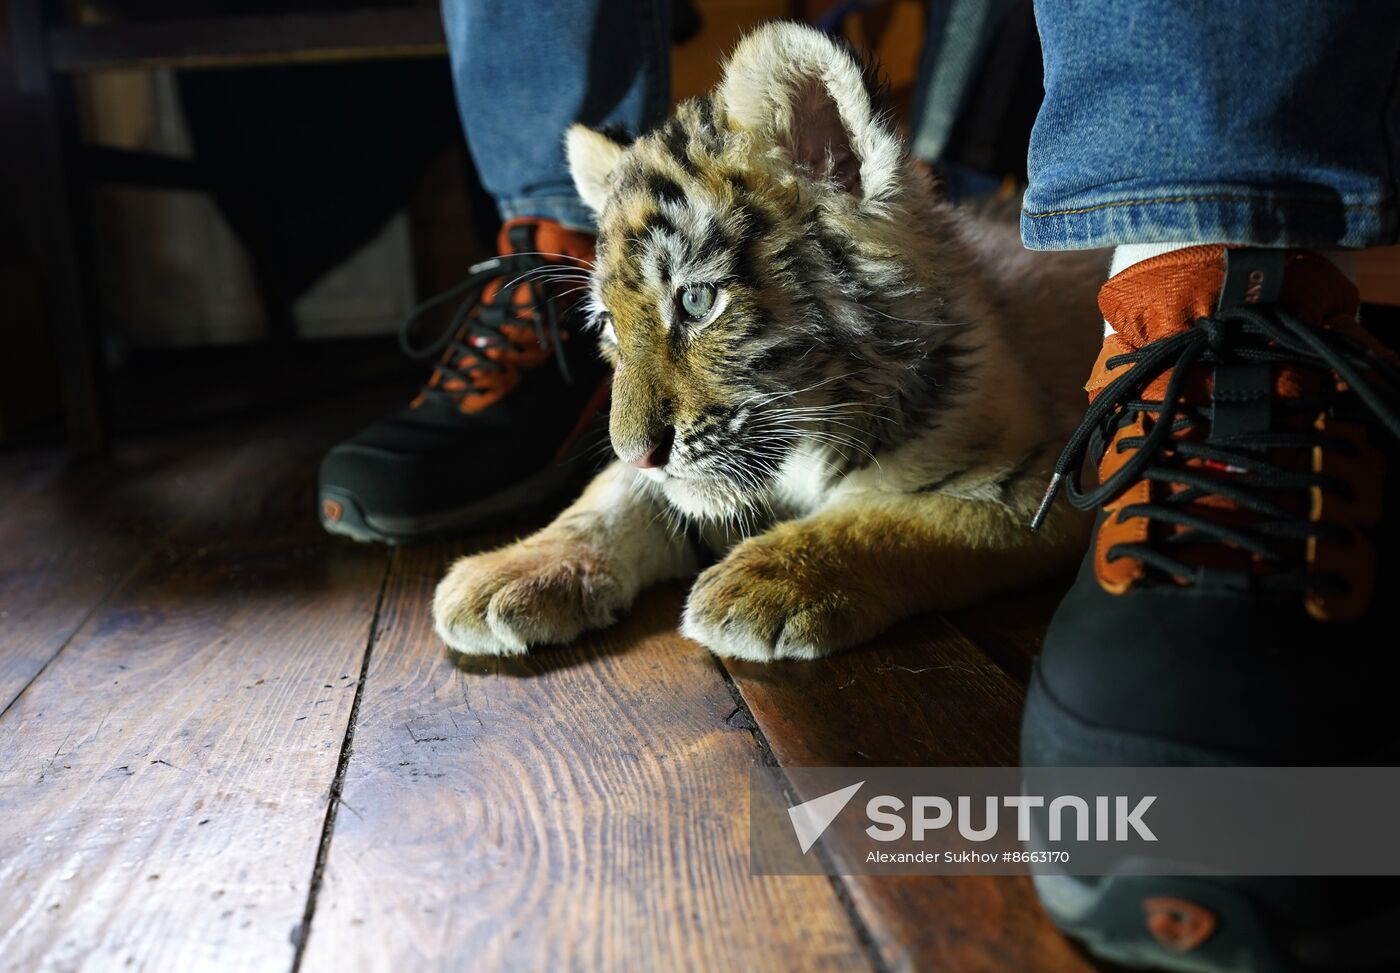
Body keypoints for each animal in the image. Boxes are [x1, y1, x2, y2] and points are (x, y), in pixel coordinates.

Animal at [431, 21, 1103, 662]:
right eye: (611, 327)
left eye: (696, 302)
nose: (640, 453)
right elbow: (611, 495)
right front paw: (509, 572)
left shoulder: (1036, 478)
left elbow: (895, 517)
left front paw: (763, 584)